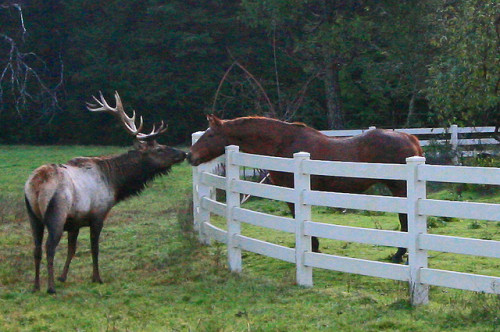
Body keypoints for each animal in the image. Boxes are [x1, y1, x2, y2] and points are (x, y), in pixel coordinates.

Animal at [24, 91, 186, 294]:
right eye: (159, 149)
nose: (183, 153)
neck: (114, 183)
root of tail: (36, 184)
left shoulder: (75, 222)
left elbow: (72, 249)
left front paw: (63, 277)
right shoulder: (98, 214)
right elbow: (94, 248)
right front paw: (96, 278)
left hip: (33, 215)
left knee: (36, 248)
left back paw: (36, 286)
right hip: (57, 212)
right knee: (49, 247)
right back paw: (50, 287)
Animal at [188, 115, 422, 264]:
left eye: (210, 136)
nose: (190, 155)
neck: (284, 143)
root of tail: (409, 137)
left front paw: (313, 246)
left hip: (400, 190)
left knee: (405, 221)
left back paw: (399, 255)